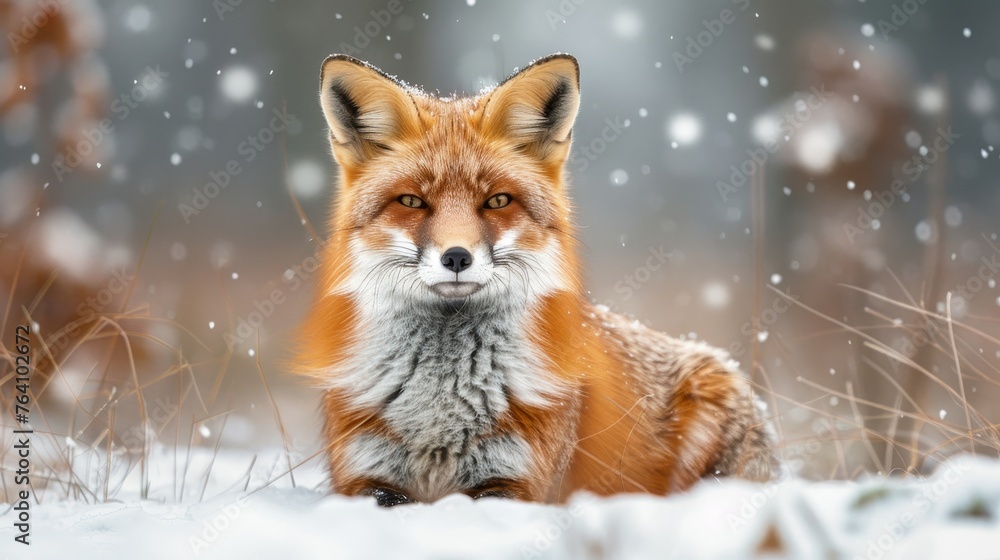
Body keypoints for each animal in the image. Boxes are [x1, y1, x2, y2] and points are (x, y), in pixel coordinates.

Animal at [296, 53, 777, 507]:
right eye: (412, 201)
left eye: (497, 201)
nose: (456, 257)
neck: (441, 405)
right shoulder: (365, 478)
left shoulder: (518, 482)